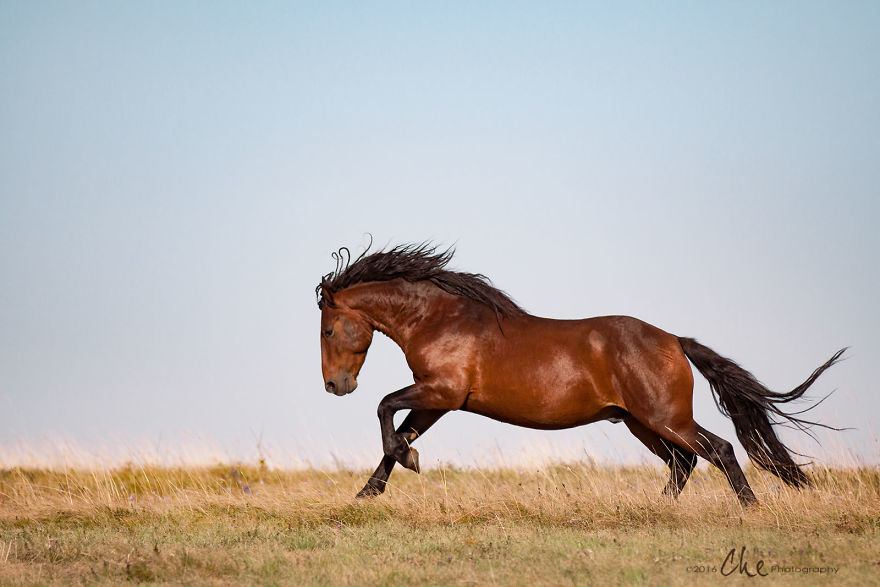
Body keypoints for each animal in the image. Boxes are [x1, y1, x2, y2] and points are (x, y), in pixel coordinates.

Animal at [315, 243, 845, 505]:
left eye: (327, 329)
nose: (335, 385)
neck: (442, 320)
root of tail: (674, 340)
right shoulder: (439, 401)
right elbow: (396, 433)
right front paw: (368, 493)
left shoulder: (440, 392)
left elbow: (385, 408)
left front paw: (407, 463)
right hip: (640, 422)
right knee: (684, 463)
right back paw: (658, 511)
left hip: (665, 418)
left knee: (718, 451)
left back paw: (749, 508)